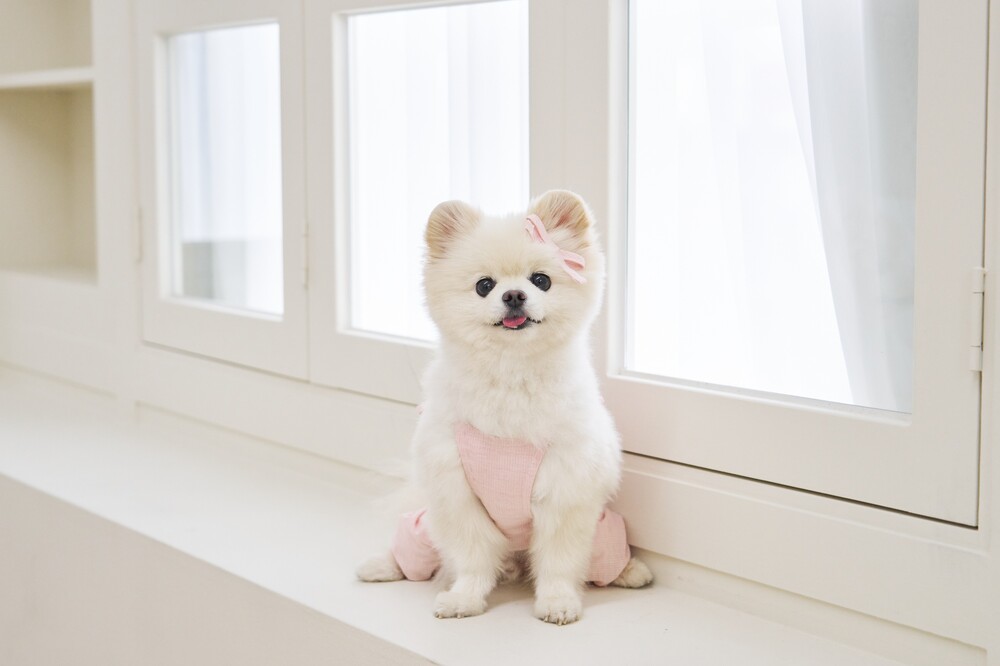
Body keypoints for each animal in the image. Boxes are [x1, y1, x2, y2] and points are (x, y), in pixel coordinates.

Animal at [357, 190, 652, 624]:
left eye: (541, 280)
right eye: (484, 286)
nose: (513, 295)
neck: (511, 377)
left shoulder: (566, 494)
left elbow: (559, 562)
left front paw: (557, 601)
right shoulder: (457, 493)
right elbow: (472, 558)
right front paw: (464, 598)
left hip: (605, 532)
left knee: (602, 562)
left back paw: (632, 571)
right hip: (424, 525)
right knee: (414, 555)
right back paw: (381, 565)